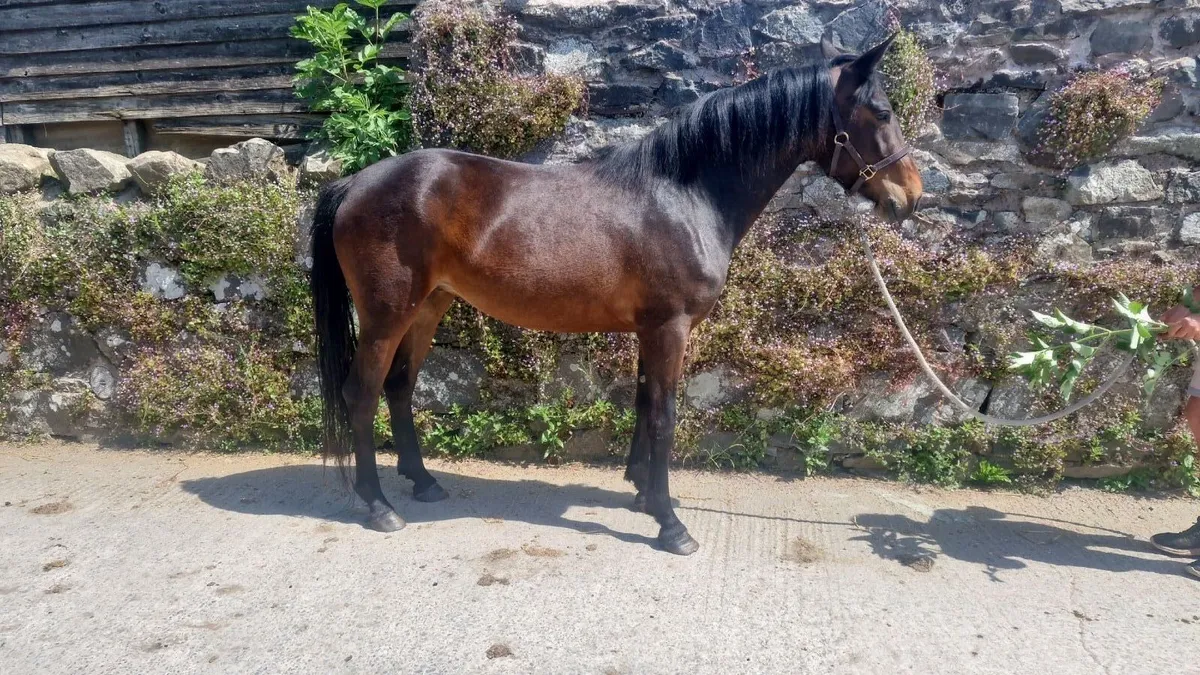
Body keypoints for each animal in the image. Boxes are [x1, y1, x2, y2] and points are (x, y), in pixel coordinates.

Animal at [308, 34, 923, 555]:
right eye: (882, 112)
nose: (910, 198)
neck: (683, 195)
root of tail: (354, 183)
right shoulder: (670, 328)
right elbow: (666, 417)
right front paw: (672, 526)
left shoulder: (652, 329)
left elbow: (645, 405)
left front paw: (646, 497)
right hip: (387, 315)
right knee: (361, 393)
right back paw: (379, 506)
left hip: (428, 307)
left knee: (399, 388)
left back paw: (423, 482)